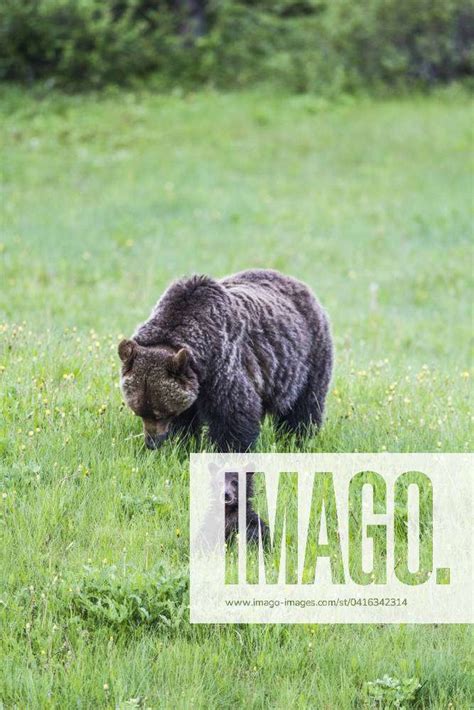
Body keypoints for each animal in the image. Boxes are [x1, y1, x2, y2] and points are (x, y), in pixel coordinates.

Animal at [118, 270, 334, 454]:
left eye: (161, 413)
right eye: (139, 412)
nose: (152, 442)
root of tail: (299, 283)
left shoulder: (222, 367)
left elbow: (233, 415)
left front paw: (228, 450)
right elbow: (187, 420)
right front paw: (181, 444)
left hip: (307, 358)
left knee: (304, 405)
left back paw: (296, 439)